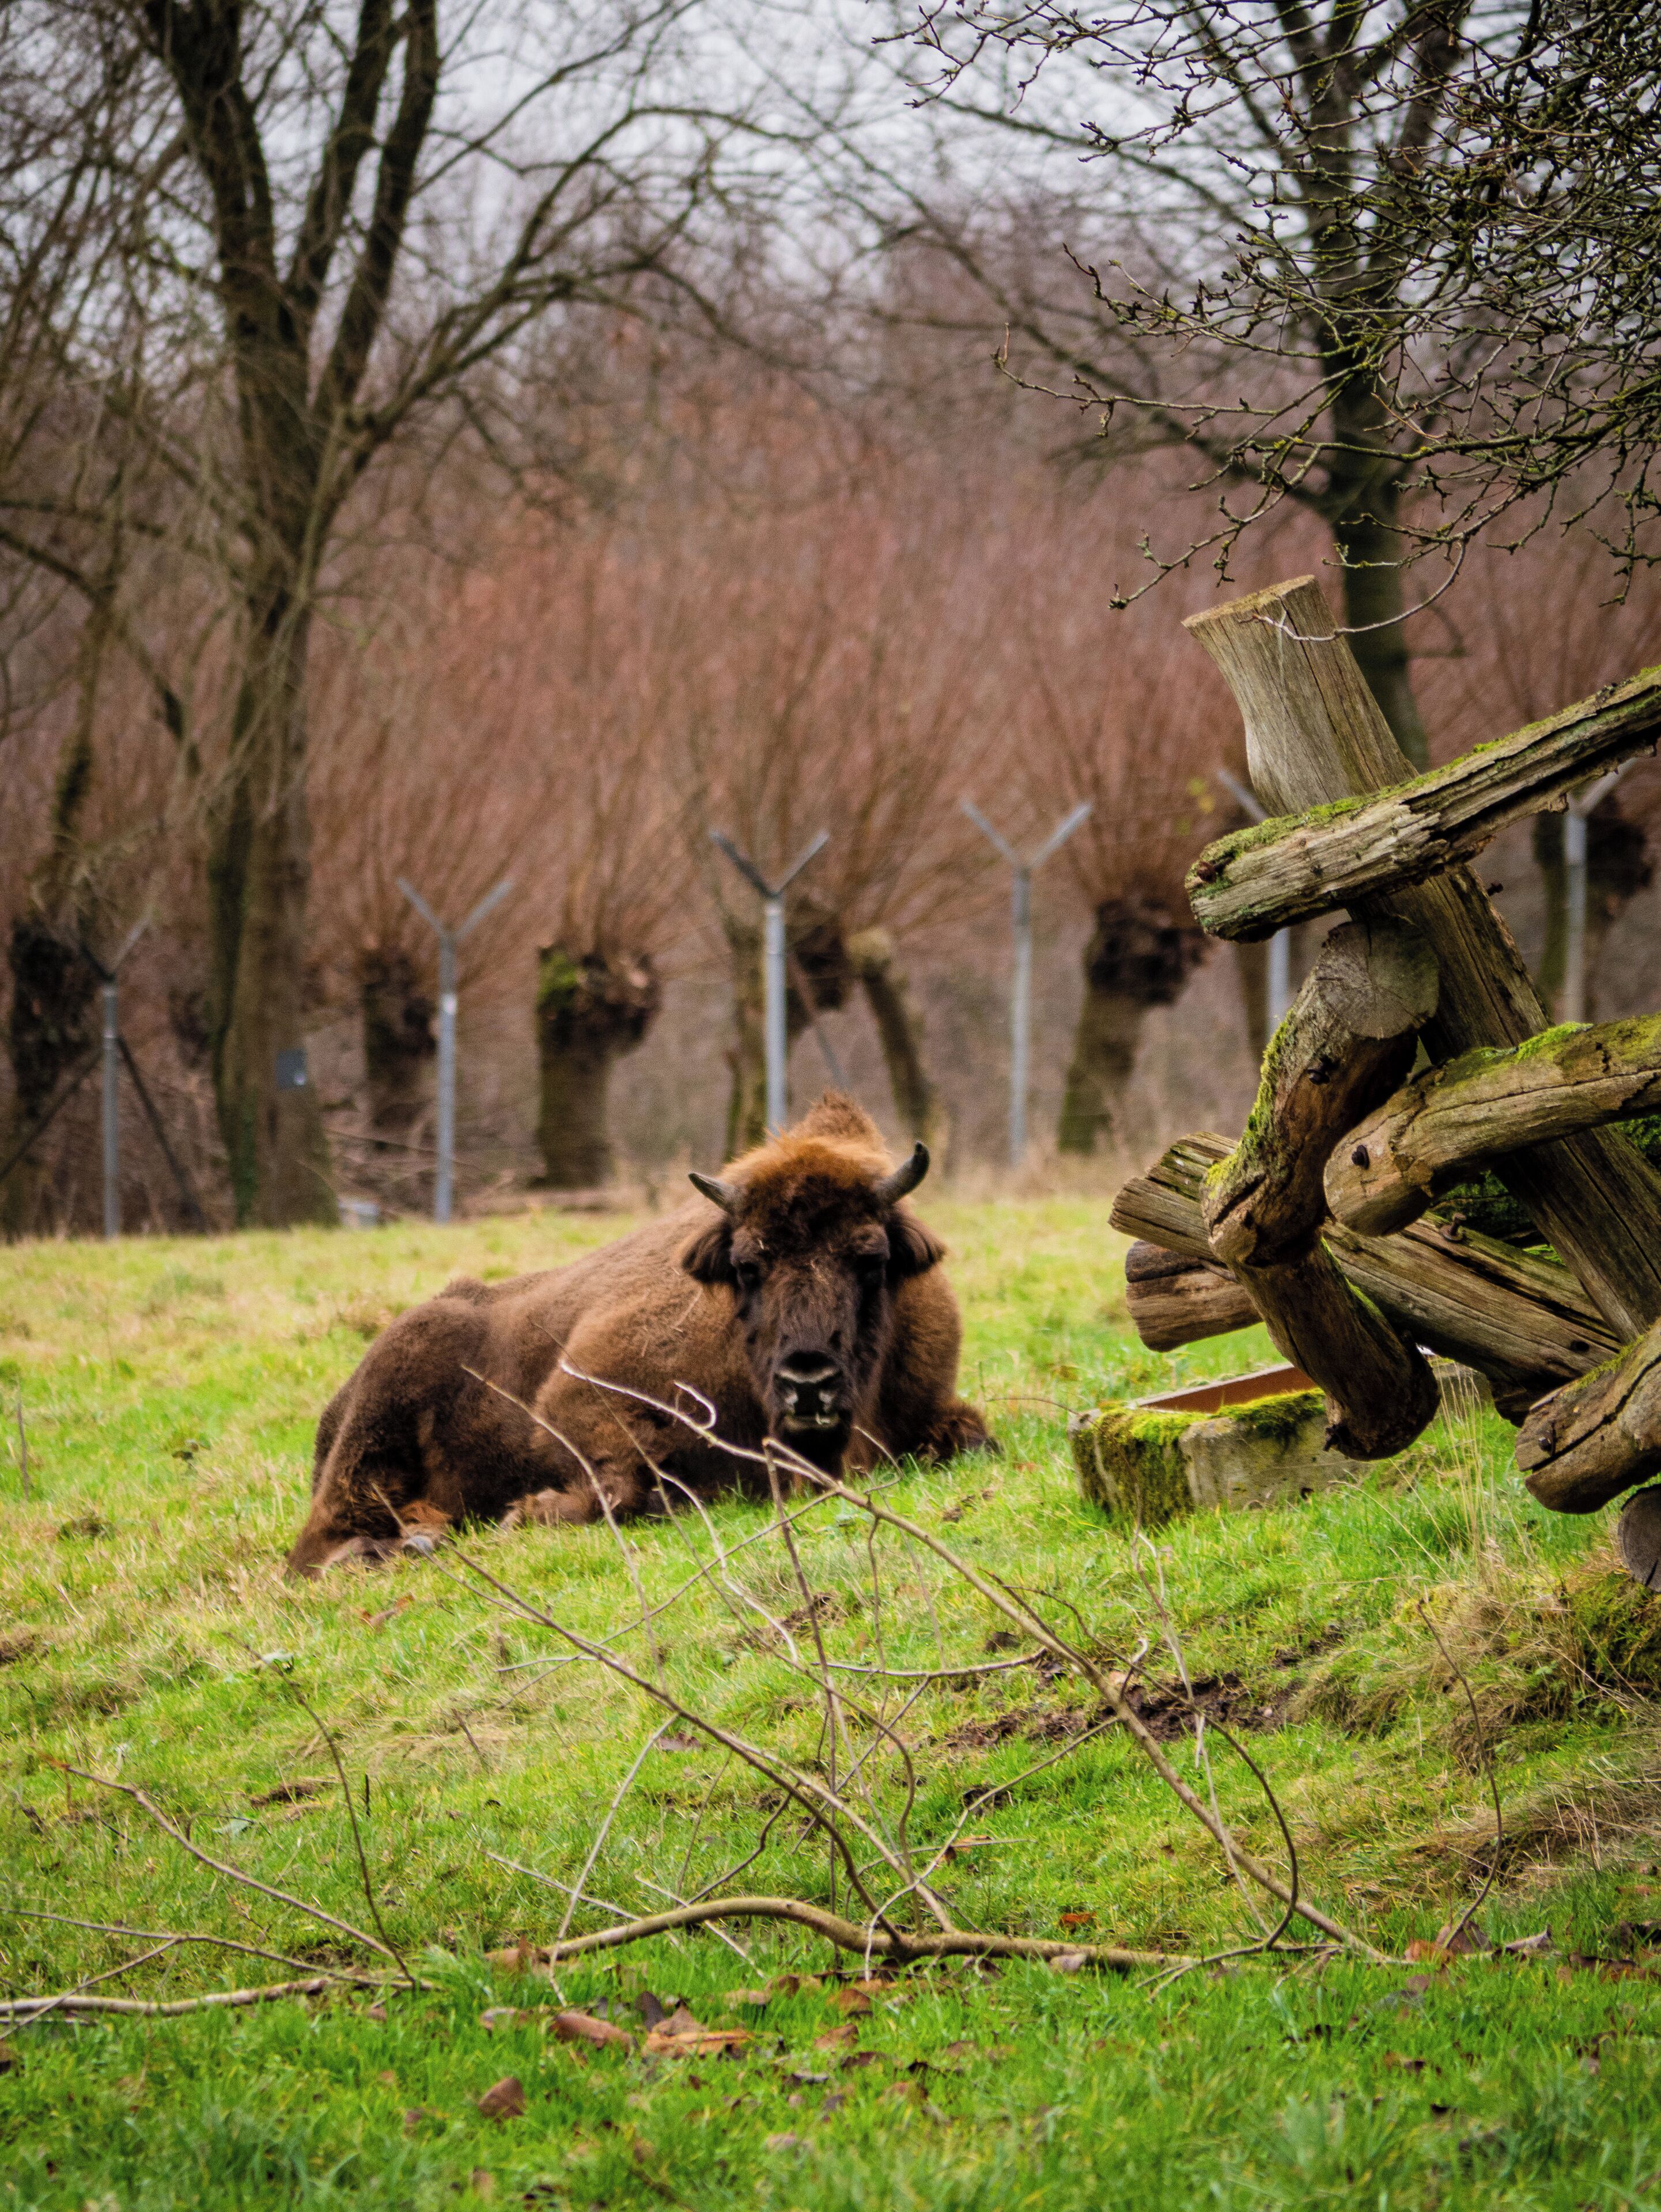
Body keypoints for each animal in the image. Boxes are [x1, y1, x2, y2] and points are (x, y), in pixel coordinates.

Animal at [286, 1094, 995, 1573]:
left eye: (870, 1258)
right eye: (748, 1265)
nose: (808, 1381)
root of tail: (335, 1407)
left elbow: (973, 1439)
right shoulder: (580, 1400)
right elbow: (622, 1487)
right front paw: (525, 1515)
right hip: (383, 1415)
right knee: (312, 1548)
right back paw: (402, 1546)